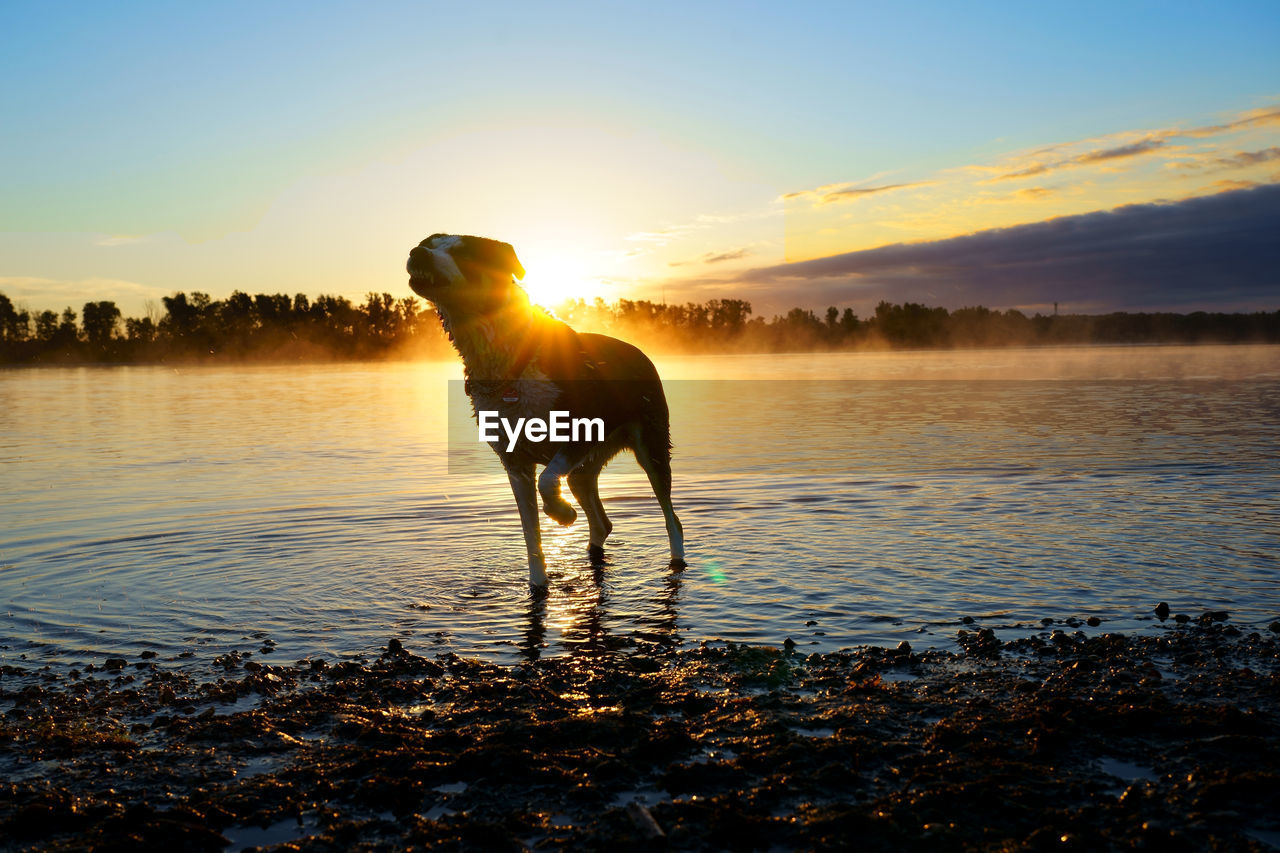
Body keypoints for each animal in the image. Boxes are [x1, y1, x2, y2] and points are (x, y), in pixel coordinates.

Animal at [409, 235, 691, 589]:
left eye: (462, 251)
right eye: (429, 242)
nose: (416, 252)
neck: (512, 364)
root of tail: (641, 352)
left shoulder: (581, 428)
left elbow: (546, 479)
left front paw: (562, 513)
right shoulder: (513, 461)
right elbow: (531, 535)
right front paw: (539, 581)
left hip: (649, 444)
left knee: (671, 517)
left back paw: (675, 560)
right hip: (585, 469)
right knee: (601, 520)